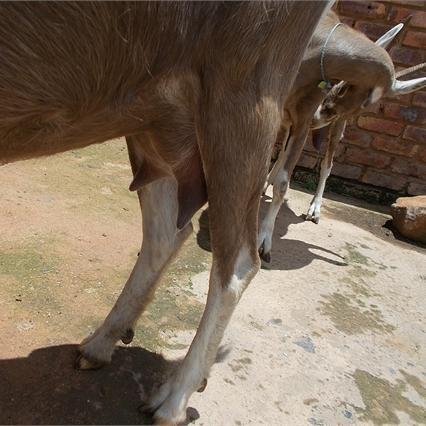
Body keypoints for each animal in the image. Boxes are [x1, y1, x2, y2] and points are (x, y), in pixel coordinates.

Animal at [0, 1, 330, 424]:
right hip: (155, 122)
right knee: (166, 233)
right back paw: (101, 344)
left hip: (246, 94)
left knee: (237, 263)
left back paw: (172, 400)